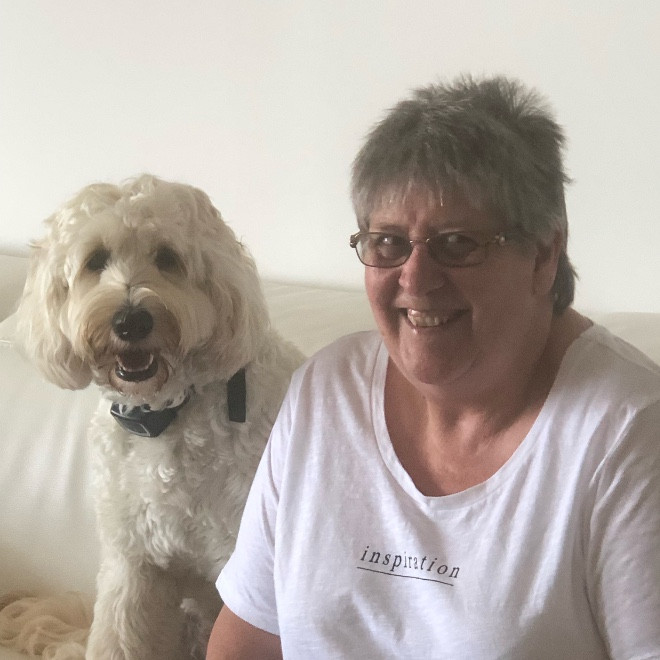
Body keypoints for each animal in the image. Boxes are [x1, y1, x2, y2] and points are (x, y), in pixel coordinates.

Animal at [15, 175, 305, 659]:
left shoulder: (239, 569)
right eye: (96, 260)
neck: (165, 415)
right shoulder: (134, 566)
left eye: (167, 257)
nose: (130, 321)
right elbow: (117, 639)